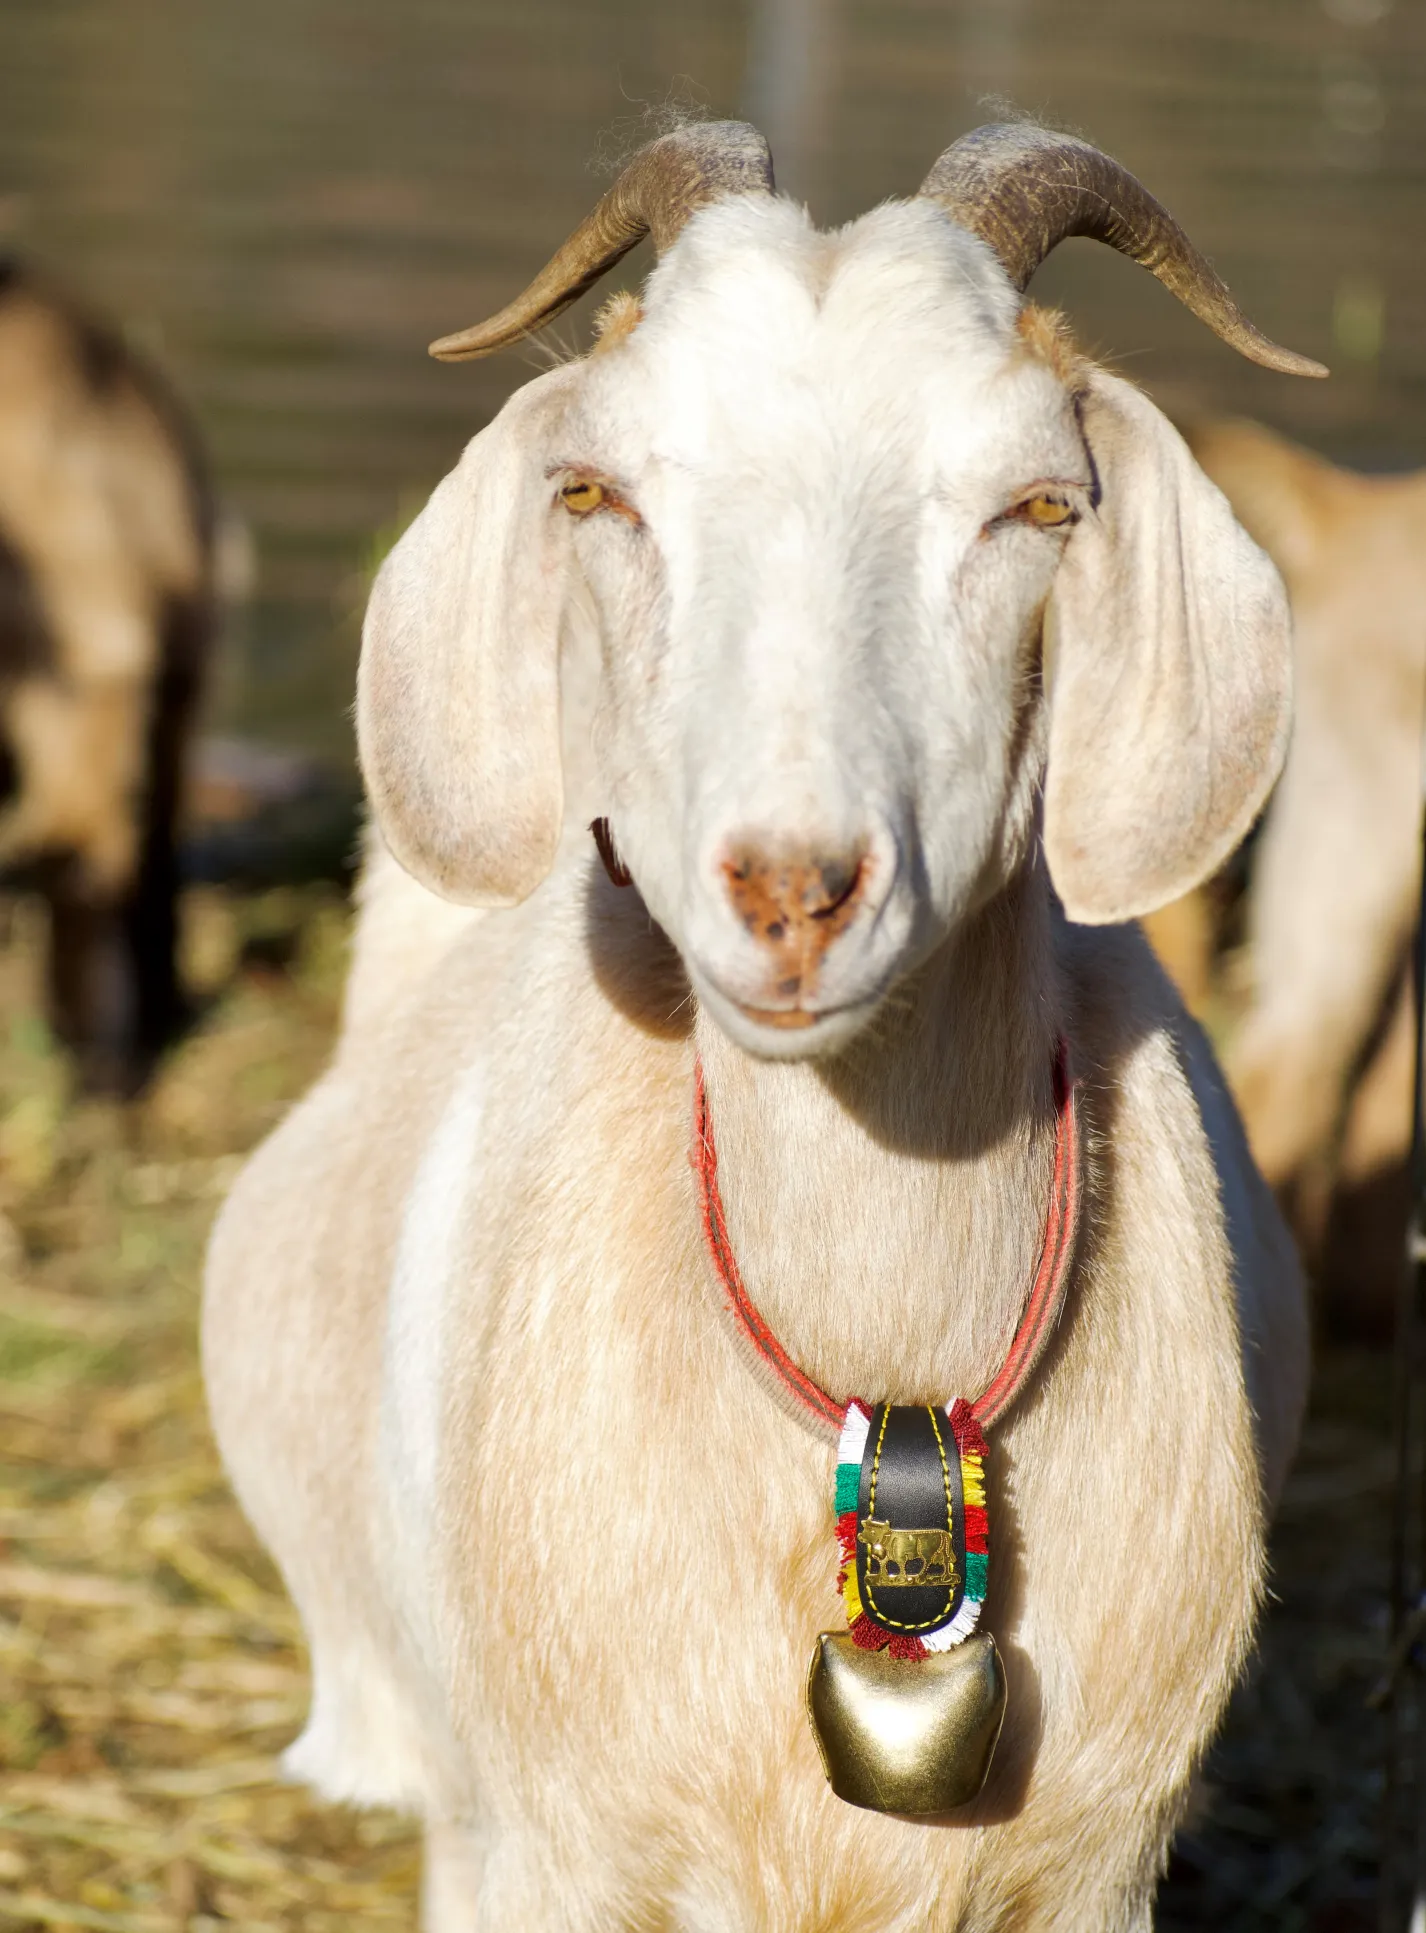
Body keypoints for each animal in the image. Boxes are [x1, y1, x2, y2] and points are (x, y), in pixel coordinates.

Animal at [202, 128, 1313, 1925]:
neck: (879, 1349)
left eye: (1040, 504)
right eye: (592, 491)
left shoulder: (1091, 1867)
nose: (794, 890)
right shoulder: (540, 1852)